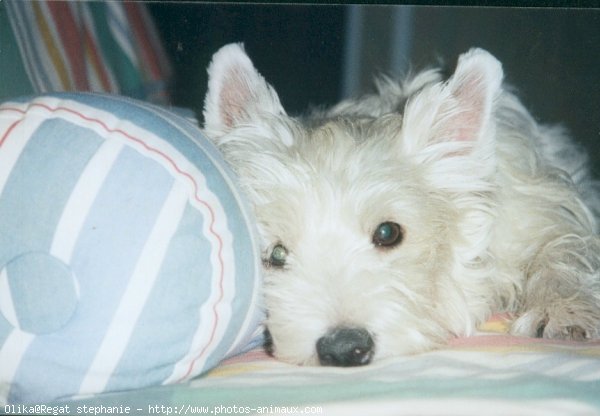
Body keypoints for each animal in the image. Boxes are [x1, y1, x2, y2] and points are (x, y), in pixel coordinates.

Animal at [202, 43, 600, 368]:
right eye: (276, 254)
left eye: (388, 232)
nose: (344, 349)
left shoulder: (539, 211)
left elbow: (560, 249)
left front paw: (561, 310)